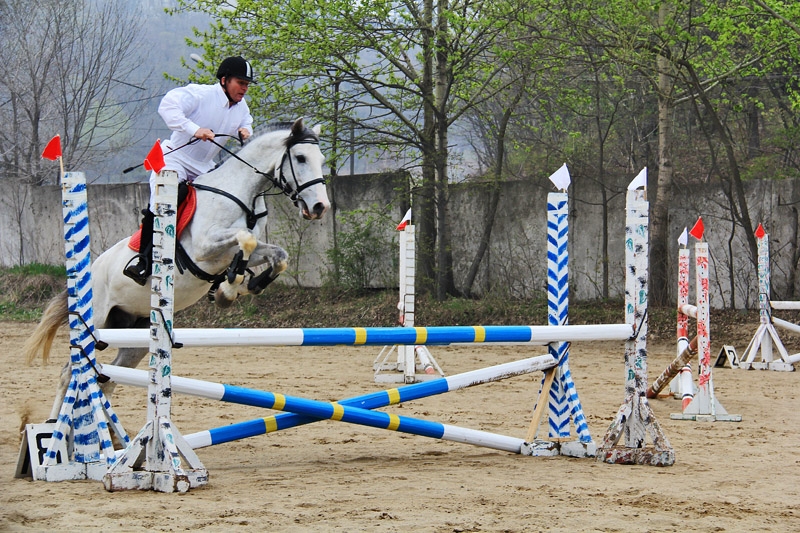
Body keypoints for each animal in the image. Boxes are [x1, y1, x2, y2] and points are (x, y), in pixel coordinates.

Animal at [24, 118, 330, 419]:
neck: (242, 194)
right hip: (95, 322)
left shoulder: (244, 252)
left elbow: (276, 255)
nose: (319, 207)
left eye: (321, 159)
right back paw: (53, 425)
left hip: (135, 331)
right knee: (69, 372)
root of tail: (87, 272)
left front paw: (239, 286)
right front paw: (228, 289)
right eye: (300, 158)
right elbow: (246, 238)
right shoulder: (205, 247)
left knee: (109, 378)